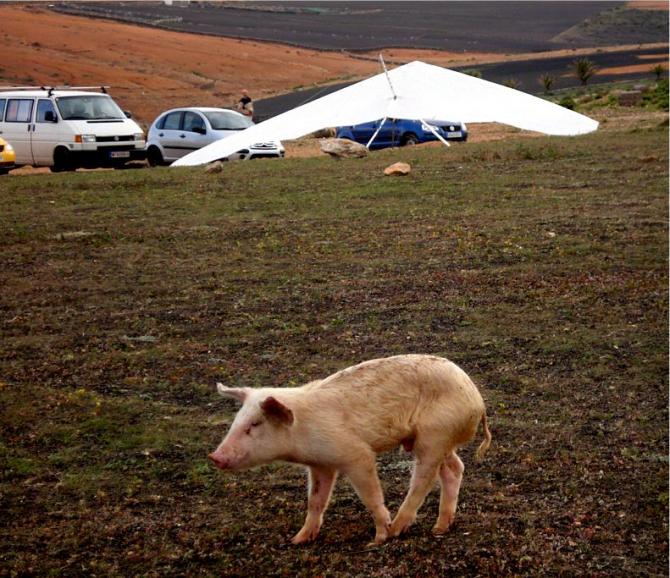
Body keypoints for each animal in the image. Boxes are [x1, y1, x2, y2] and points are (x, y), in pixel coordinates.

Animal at [210, 352, 494, 544]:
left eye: (255, 424)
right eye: (236, 420)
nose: (214, 457)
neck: (303, 431)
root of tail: (477, 400)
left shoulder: (355, 454)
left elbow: (370, 495)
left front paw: (378, 538)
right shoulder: (320, 465)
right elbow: (315, 500)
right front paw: (298, 540)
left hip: (433, 436)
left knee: (424, 479)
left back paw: (396, 530)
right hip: (436, 440)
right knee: (454, 468)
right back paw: (439, 528)